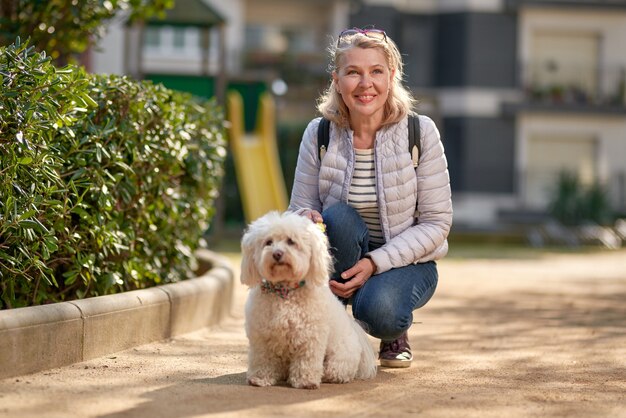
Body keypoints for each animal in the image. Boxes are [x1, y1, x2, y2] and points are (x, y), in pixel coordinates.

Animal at [239, 211, 376, 390]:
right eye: (268, 242)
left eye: (291, 241)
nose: (277, 253)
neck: (285, 292)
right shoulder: (262, 336)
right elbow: (263, 358)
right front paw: (260, 378)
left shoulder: (310, 336)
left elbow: (306, 360)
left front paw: (305, 381)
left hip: (339, 356)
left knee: (337, 370)